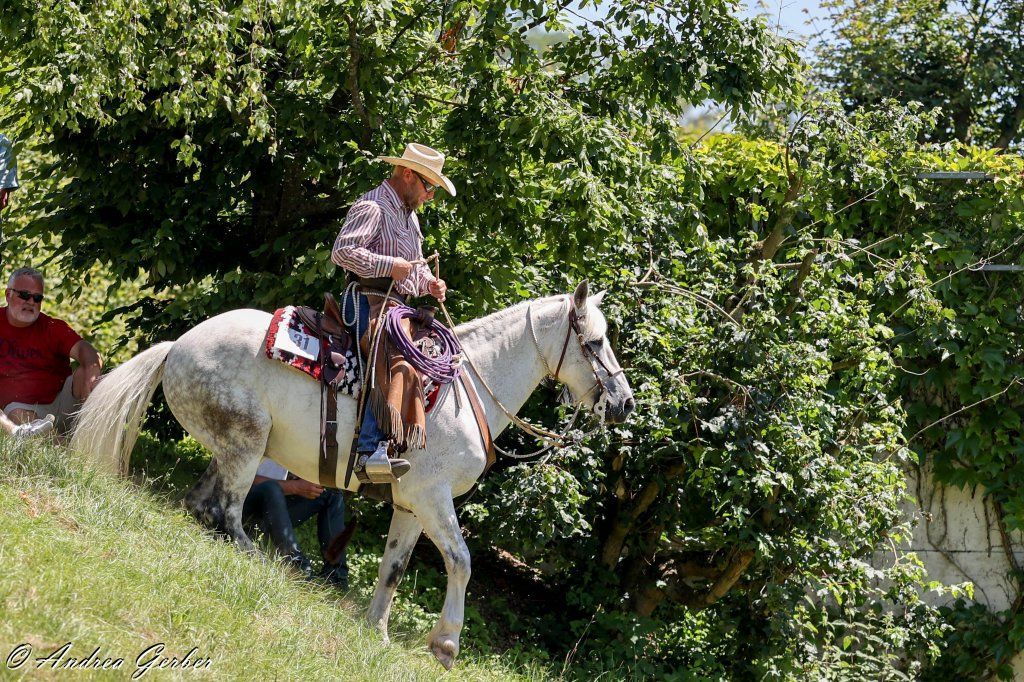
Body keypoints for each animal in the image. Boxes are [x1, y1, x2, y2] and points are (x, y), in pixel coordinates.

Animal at [70, 280, 634, 669]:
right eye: (594, 343)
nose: (625, 404)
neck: (466, 387)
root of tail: (178, 345)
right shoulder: (433, 497)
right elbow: (461, 561)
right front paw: (445, 643)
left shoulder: (411, 504)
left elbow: (394, 568)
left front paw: (376, 629)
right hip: (248, 443)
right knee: (229, 508)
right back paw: (258, 558)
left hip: (232, 446)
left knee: (202, 502)